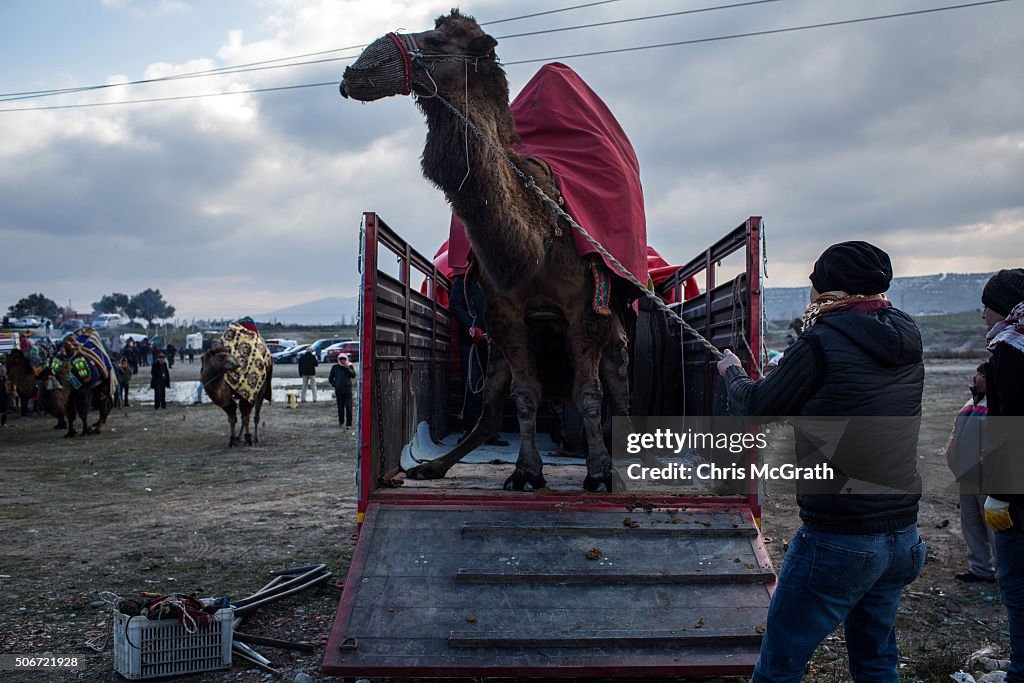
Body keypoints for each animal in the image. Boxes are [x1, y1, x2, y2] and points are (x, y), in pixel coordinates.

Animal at [339, 9, 634, 491]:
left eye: (437, 41)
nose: (353, 73)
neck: (539, 235)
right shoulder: (503, 311)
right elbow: (526, 395)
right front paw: (526, 472)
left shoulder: (585, 309)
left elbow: (589, 396)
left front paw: (599, 473)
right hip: (493, 356)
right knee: (491, 416)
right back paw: (431, 465)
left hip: (613, 338)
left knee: (619, 397)